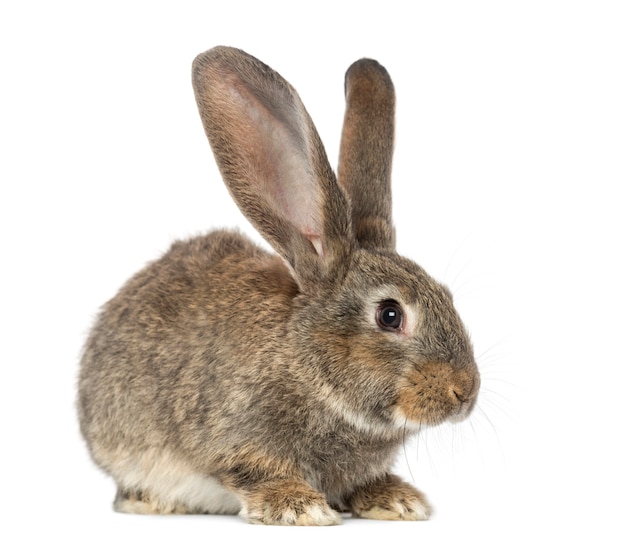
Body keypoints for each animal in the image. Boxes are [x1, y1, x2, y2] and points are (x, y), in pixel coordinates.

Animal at [78, 46, 478, 528]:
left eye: (447, 296)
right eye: (390, 314)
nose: (466, 391)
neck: (308, 366)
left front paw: (397, 500)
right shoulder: (234, 436)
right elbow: (255, 472)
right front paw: (300, 507)